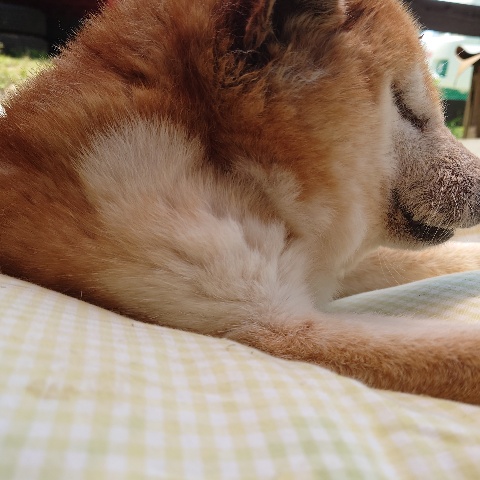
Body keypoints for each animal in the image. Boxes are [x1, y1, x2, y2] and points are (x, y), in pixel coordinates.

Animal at [2, 0, 480, 404]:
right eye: (407, 107)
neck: (233, 172)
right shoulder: (261, 320)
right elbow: (458, 354)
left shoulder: (315, 265)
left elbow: (420, 260)